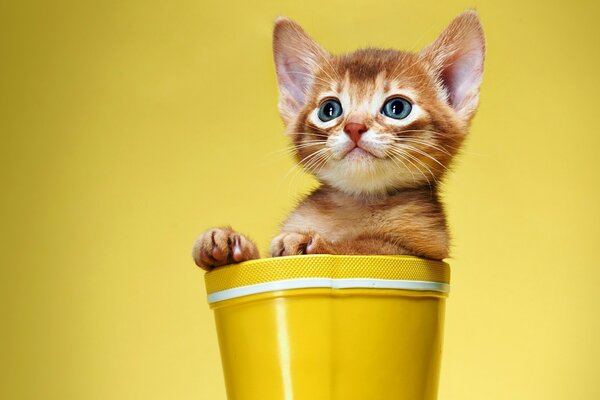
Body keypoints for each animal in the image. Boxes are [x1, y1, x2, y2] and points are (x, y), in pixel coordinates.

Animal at [192, 10, 482, 270]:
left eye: (397, 108)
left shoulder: (425, 250)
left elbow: (366, 247)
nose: (354, 127)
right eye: (329, 110)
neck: (357, 204)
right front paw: (229, 242)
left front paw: (312, 242)